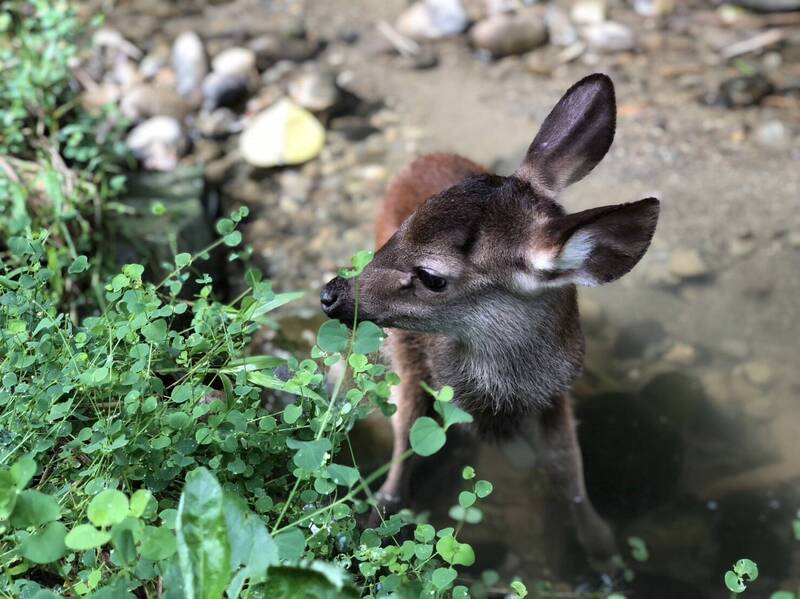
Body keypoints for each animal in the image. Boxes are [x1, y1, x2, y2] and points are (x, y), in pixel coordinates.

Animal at [322, 72, 660, 564]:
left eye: (432, 277)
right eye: (405, 227)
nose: (331, 293)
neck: (501, 398)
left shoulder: (555, 396)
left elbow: (568, 470)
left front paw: (603, 552)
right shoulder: (421, 368)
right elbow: (404, 449)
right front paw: (374, 522)